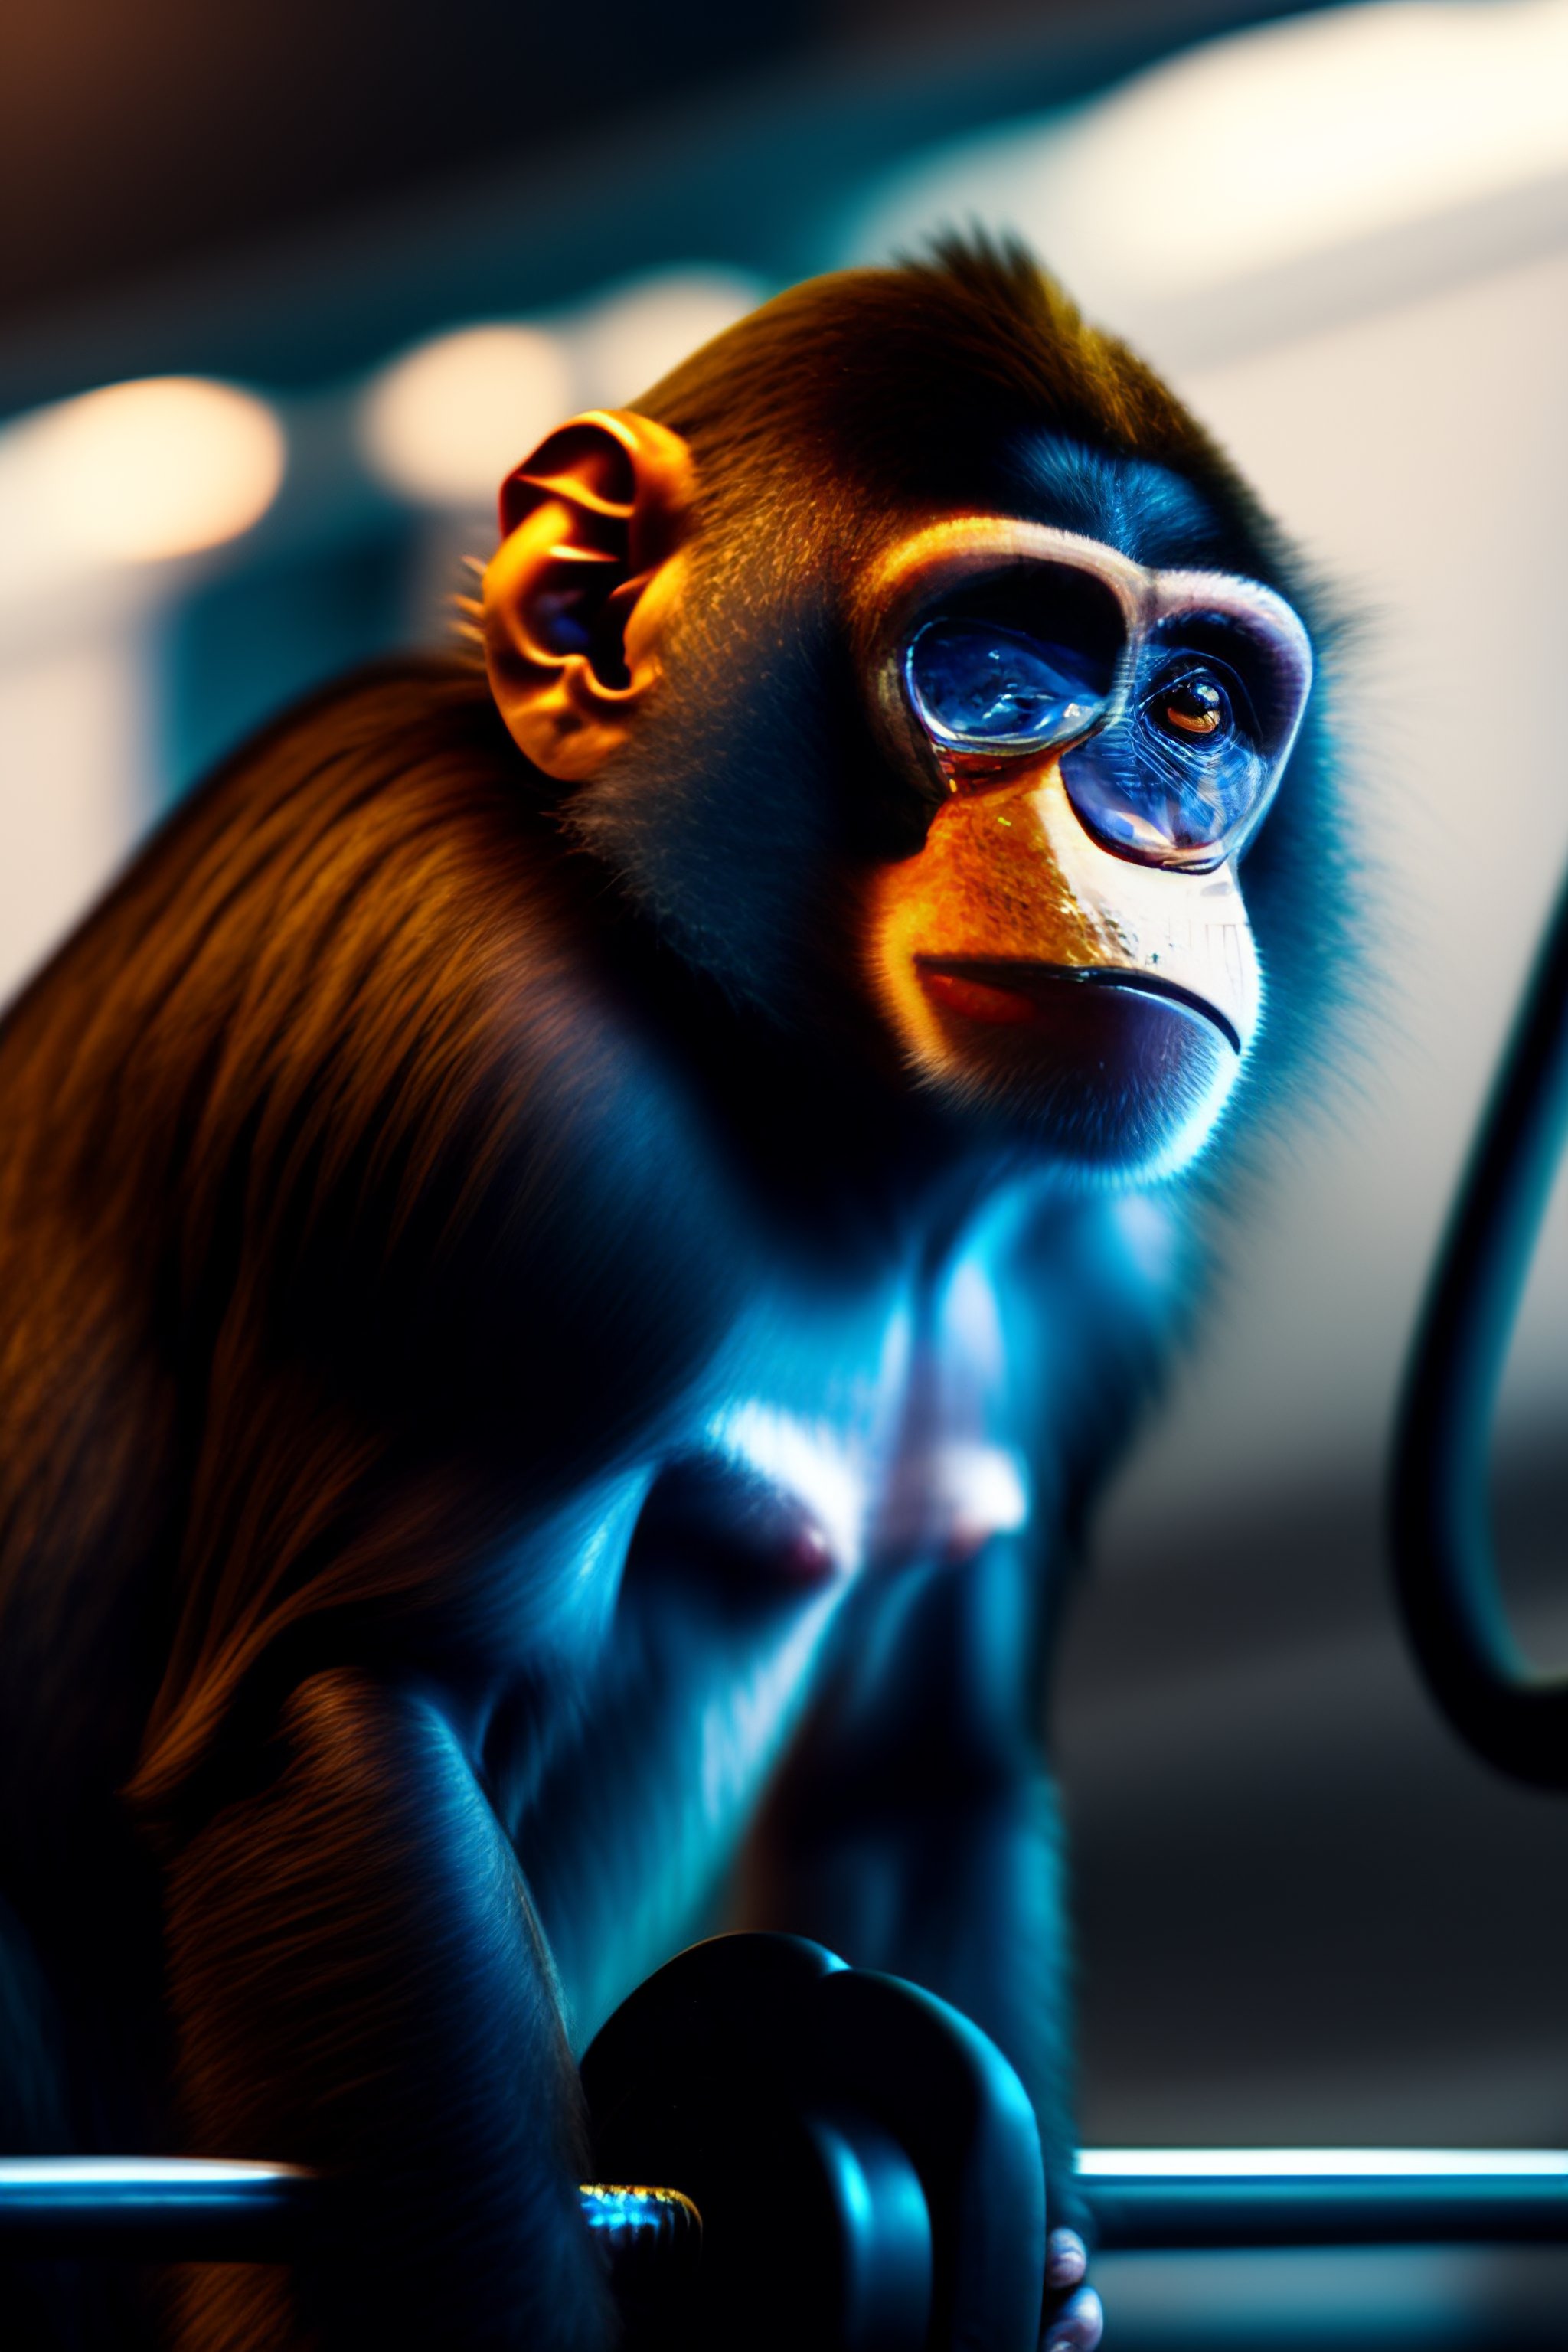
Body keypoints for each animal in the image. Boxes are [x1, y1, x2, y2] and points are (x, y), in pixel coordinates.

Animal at [0, 237, 1342, 2352]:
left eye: (1198, 703)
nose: (1142, 826)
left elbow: (916, 1769)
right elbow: (363, 1715)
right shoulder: (490, 1054)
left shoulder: (1093, 1264)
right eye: (998, 670)